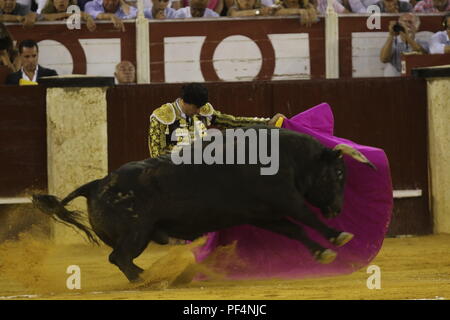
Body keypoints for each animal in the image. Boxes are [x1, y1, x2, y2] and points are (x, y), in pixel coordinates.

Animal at [32, 125, 376, 280]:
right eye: (339, 172)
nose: (338, 209)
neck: (289, 157)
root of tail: (97, 184)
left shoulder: (264, 215)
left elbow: (295, 231)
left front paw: (322, 253)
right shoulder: (285, 199)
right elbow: (306, 217)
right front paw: (339, 236)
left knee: (120, 258)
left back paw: (151, 276)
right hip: (136, 233)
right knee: (119, 257)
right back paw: (147, 279)